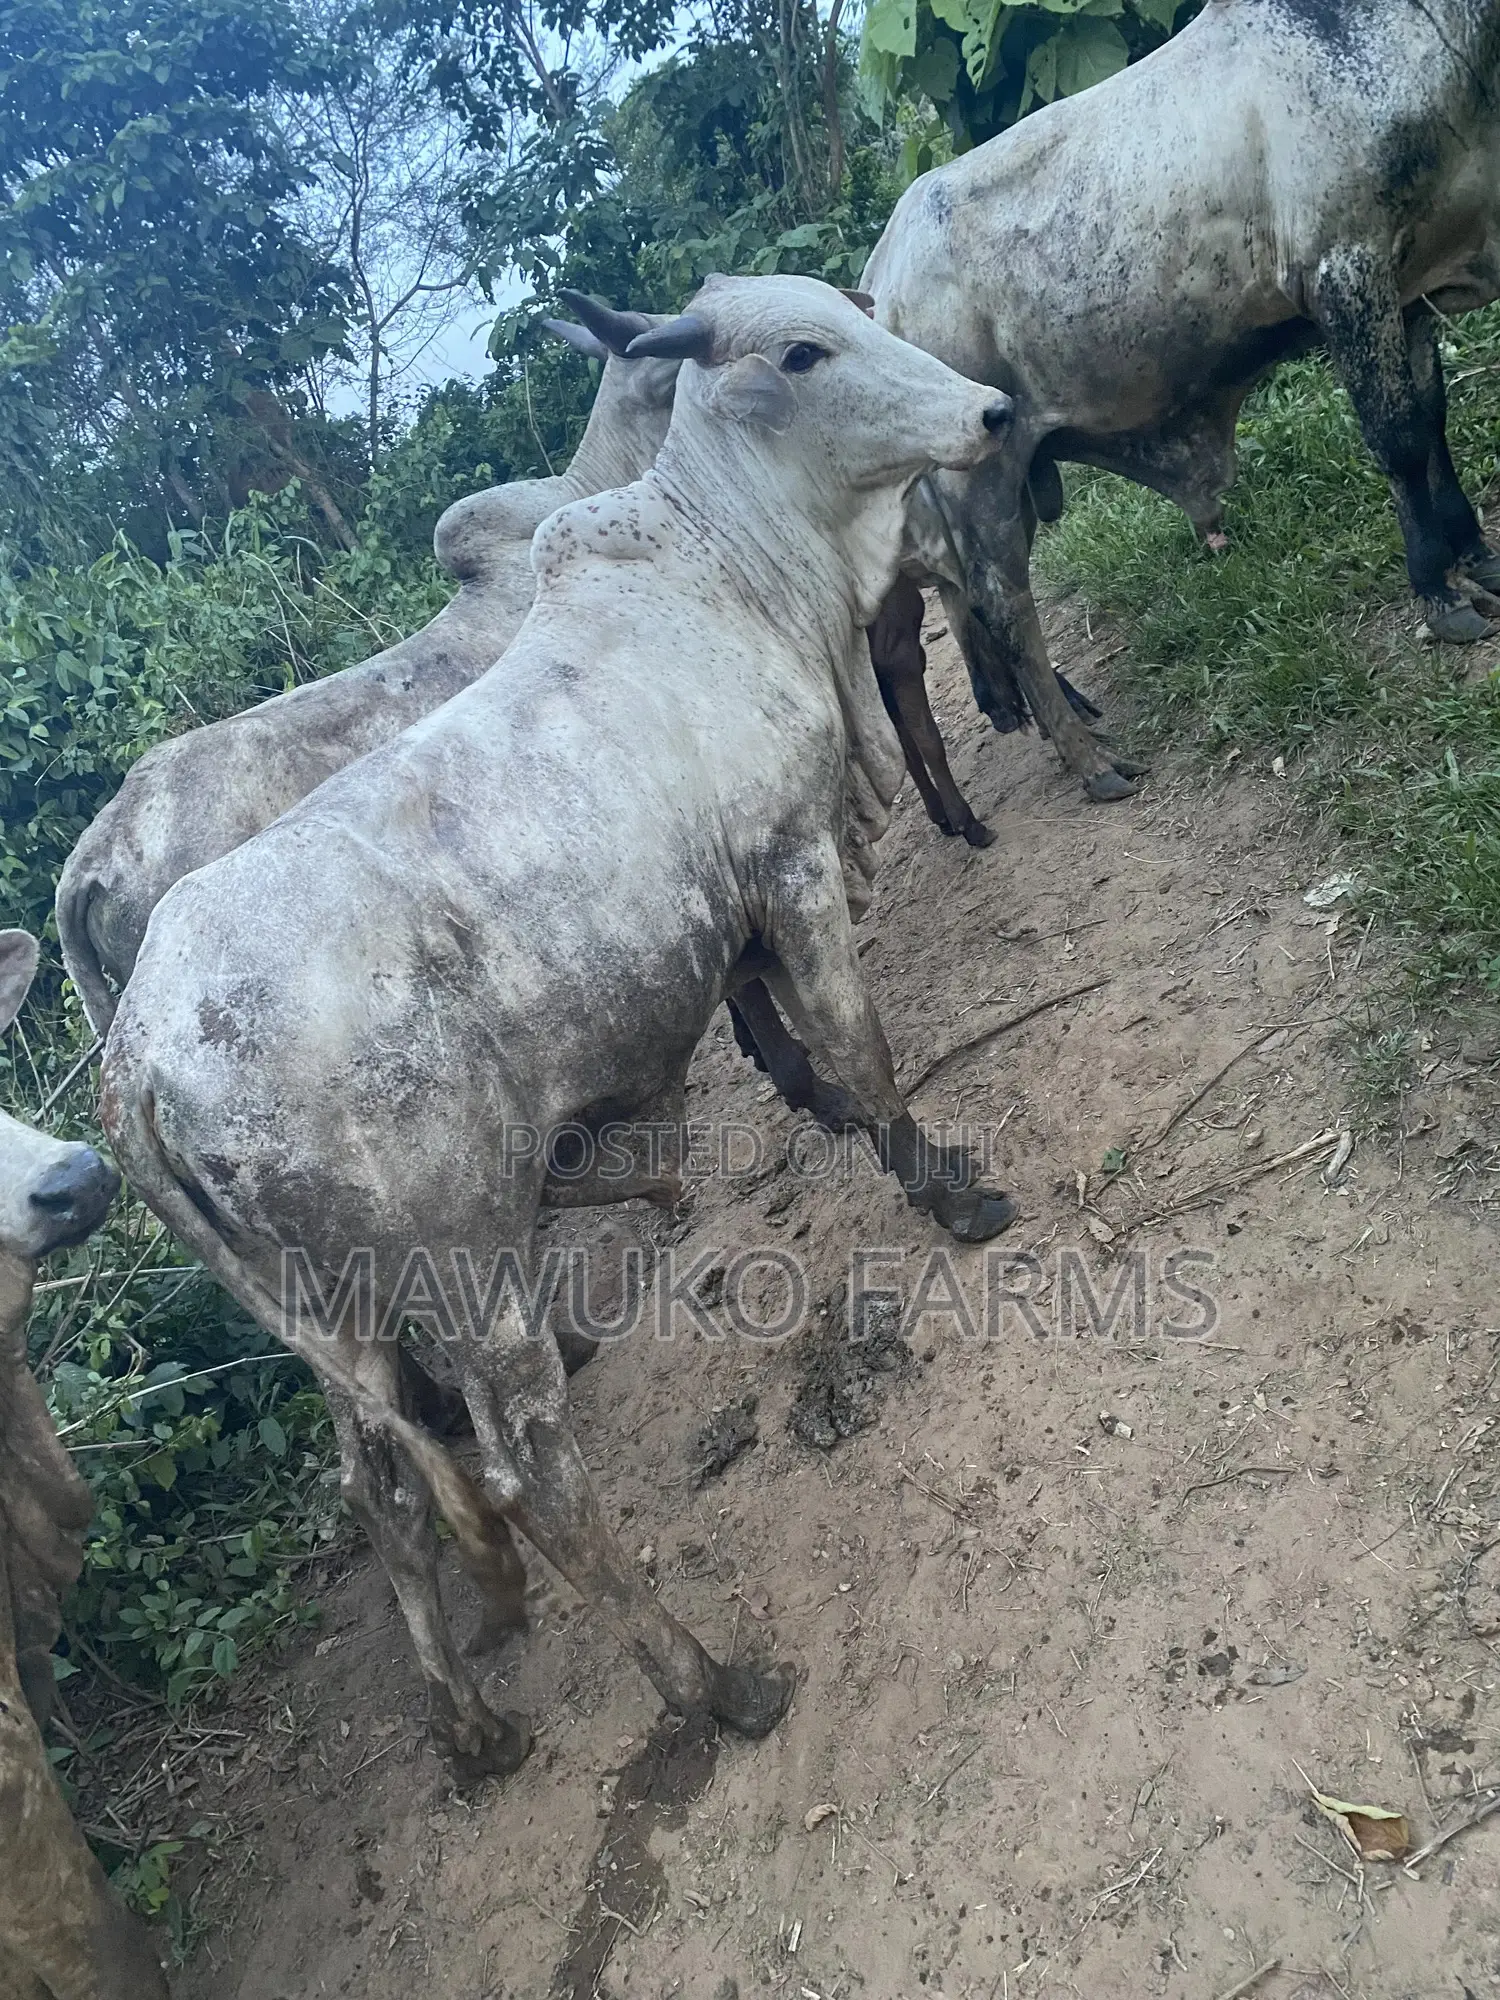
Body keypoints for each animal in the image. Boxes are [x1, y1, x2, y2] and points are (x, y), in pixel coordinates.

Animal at [862, 0, 1500, 801]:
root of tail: (874, 283)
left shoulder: (1410, 285)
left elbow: (1432, 420)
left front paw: (1478, 558)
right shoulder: (1344, 267)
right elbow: (1400, 437)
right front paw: (1441, 592)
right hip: (979, 475)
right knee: (1000, 602)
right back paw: (1091, 761)